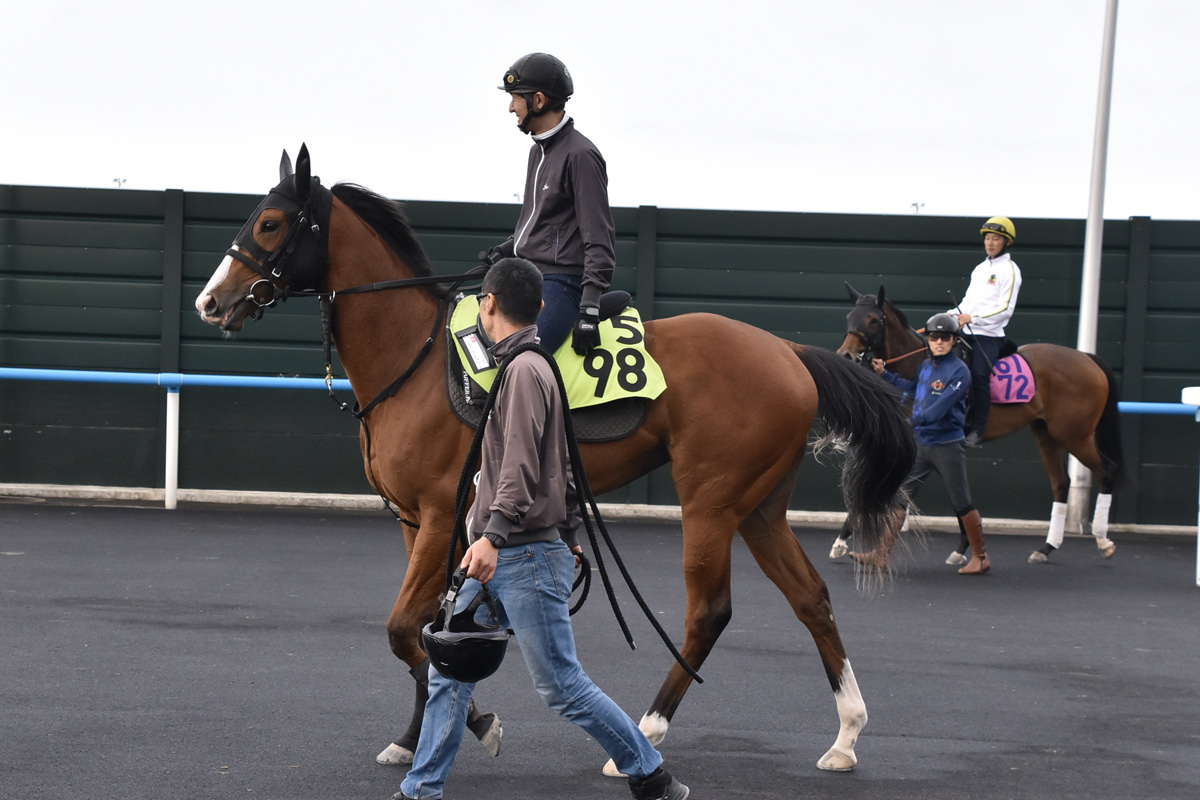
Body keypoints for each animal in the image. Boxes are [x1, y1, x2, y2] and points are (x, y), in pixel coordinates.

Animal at [194, 146, 916, 776]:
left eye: (269, 221)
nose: (211, 301)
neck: (416, 358)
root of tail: (788, 351)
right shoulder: (414, 521)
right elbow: (420, 628)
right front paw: (414, 735)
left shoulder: (439, 515)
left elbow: (403, 629)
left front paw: (479, 724)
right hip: (760, 506)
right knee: (811, 599)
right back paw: (846, 735)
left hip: (711, 501)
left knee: (708, 612)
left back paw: (647, 731)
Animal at [832, 284, 1123, 565]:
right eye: (849, 316)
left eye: (873, 320)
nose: (845, 355)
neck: (918, 365)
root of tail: (1087, 358)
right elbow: (955, 496)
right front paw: (963, 547)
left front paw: (842, 540)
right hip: (1046, 434)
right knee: (1061, 483)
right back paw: (1047, 548)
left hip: (1075, 435)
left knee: (1107, 471)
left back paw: (1103, 540)